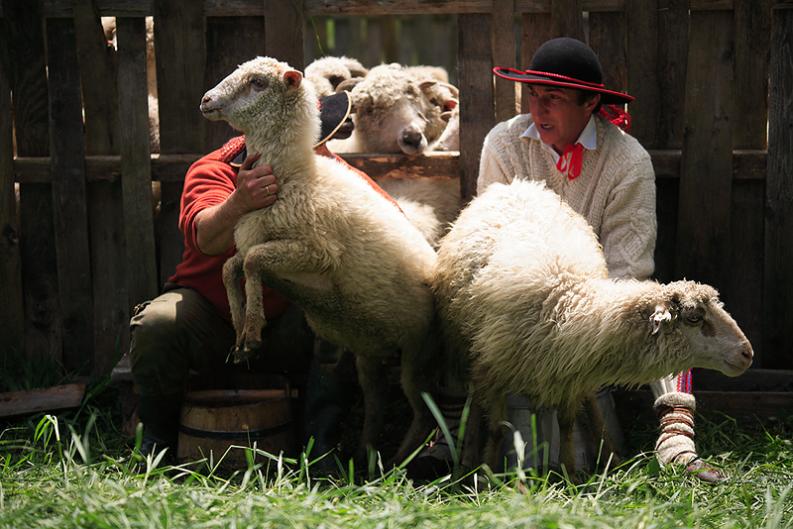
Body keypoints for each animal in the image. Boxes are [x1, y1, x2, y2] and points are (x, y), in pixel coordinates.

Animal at [196, 57, 436, 460]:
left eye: (257, 82)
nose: (206, 100)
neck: (295, 179)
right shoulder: (255, 242)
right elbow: (232, 267)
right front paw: (240, 329)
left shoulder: (318, 253)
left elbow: (252, 262)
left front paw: (253, 330)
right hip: (371, 349)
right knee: (376, 399)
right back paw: (368, 456)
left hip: (419, 352)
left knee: (425, 413)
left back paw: (402, 460)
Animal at [434, 180, 756, 474]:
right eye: (693, 317)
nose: (747, 353)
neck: (566, 302)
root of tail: (514, 185)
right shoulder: (495, 369)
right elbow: (498, 428)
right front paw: (488, 474)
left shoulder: (567, 372)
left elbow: (565, 424)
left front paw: (569, 473)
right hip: (467, 346)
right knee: (476, 401)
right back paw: (467, 460)